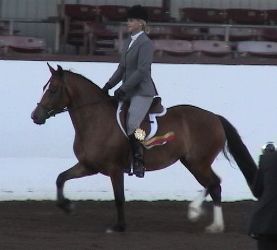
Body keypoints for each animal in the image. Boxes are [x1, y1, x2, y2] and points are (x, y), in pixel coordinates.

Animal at [30, 64, 256, 232]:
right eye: (44, 88)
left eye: (53, 89)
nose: (35, 116)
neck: (95, 119)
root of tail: (215, 117)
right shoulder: (89, 166)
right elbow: (61, 178)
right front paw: (67, 206)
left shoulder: (114, 169)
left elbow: (119, 198)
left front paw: (119, 226)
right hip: (191, 161)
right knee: (213, 184)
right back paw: (206, 219)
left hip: (198, 162)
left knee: (214, 184)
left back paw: (204, 218)